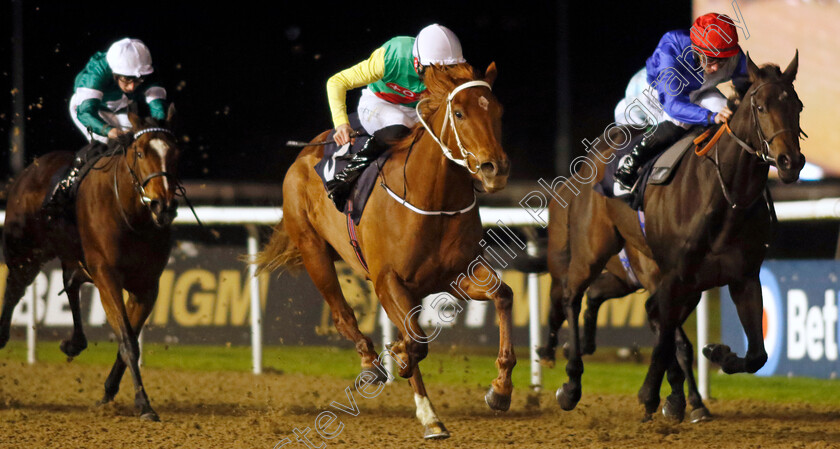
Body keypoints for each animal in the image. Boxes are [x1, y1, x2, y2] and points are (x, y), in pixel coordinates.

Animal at [0, 107, 180, 420]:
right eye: (141, 153)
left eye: (175, 153)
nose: (164, 205)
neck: (132, 217)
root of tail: (29, 169)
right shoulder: (107, 275)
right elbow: (128, 341)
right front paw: (144, 404)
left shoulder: (146, 287)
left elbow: (128, 340)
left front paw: (110, 392)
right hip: (24, 253)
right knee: (14, 289)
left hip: (70, 255)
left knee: (70, 284)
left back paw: (74, 342)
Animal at [256, 63, 516, 438]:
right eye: (459, 112)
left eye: (497, 111)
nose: (495, 169)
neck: (432, 200)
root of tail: (306, 153)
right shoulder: (388, 280)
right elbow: (416, 342)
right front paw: (400, 360)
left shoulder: (456, 275)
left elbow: (503, 295)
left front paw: (500, 389)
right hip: (313, 250)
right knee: (342, 314)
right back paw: (374, 366)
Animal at [552, 54, 808, 422]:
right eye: (760, 106)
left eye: (797, 106)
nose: (791, 161)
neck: (724, 195)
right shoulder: (674, 276)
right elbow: (663, 344)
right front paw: (651, 395)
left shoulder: (743, 276)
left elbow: (757, 355)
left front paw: (717, 354)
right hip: (592, 248)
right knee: (573, 296)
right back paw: (572, 382)